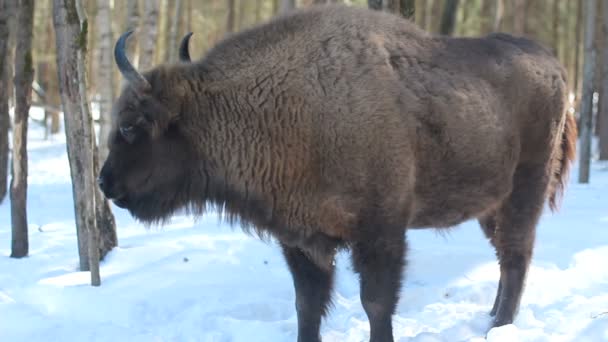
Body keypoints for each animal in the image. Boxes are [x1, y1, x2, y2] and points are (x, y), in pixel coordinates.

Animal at [98, 3, 576, 342]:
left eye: (130, 125)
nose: (105, 182)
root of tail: (555, 66)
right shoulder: (302, 241)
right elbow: (307, 307)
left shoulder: (380, 233)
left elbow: (376, 304)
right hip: (489, 206)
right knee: (505, 257)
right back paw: (491, 317)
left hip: (525, 190)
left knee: (516, 256)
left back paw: (499, 326)